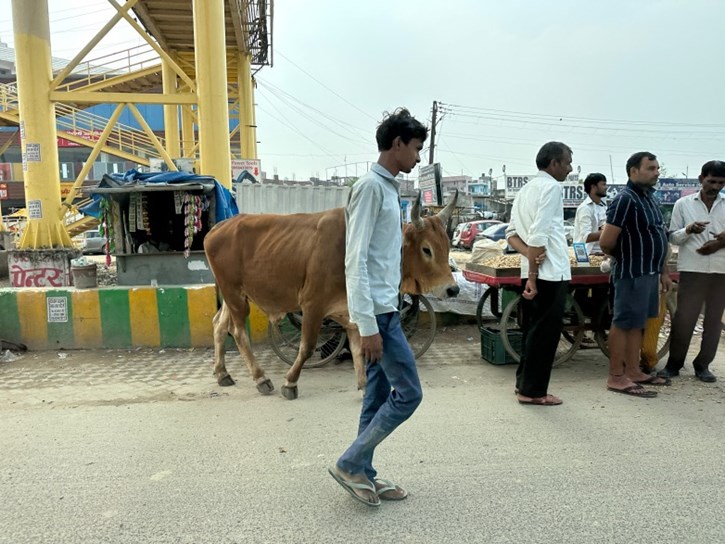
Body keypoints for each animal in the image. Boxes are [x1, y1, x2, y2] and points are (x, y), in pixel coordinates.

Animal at [202, 191, 458, 400]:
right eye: (427, 249)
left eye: (447, 246)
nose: (452, 289)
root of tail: (218, 228)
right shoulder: (312, 305)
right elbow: (307, 347)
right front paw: (290, 382)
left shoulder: (352, 312)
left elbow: (358, 349)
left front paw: (364, 386)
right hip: (235, 295)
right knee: (237, 332)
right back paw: (261, 378)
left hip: (233, 296)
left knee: (218, 324)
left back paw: (222, 374)